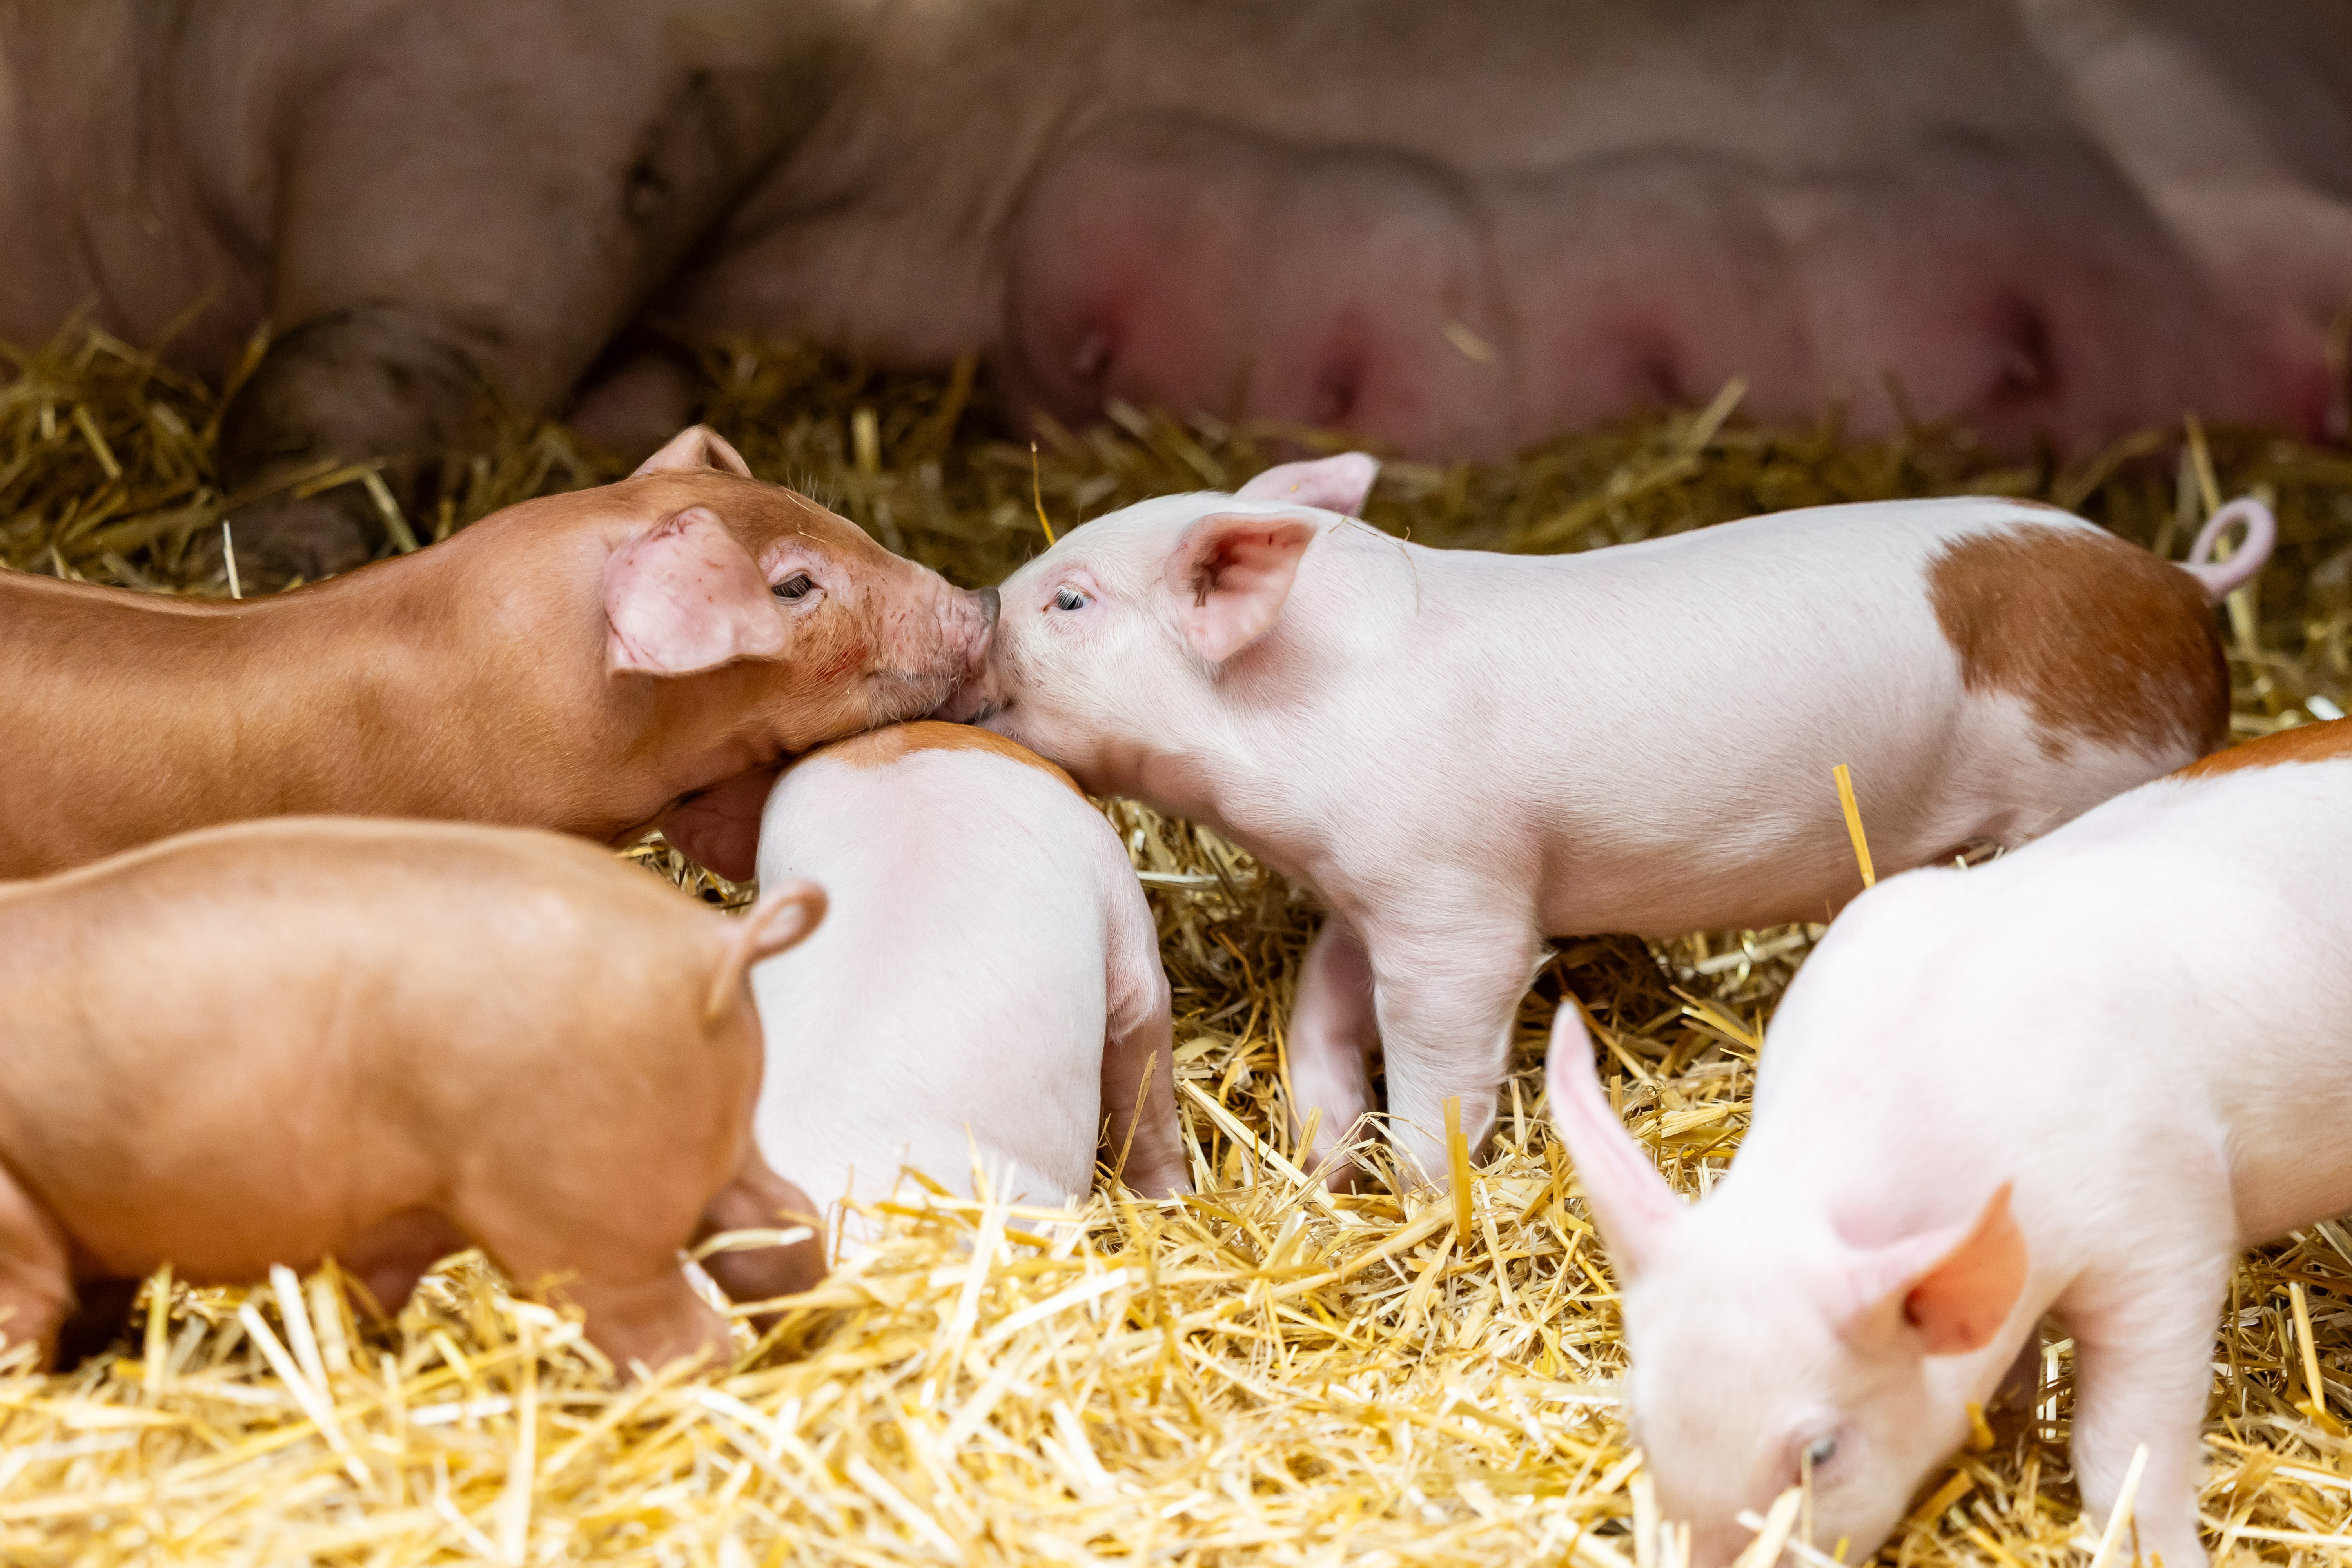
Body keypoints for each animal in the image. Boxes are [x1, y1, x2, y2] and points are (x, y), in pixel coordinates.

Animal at [0, 815, 832, 1374]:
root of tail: (712, 947)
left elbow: (27, 1305)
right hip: (716, 1156)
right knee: (785, 1230)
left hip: (582, 1214)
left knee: (684, 1341)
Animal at [943, 452, 2274, 1188]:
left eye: (1070, 601)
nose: (974, 606)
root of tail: (2180, 584)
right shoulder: (1378, 889)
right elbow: (1323, 1000)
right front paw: (1324, 1152)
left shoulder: (1457, 898)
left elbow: (1446, 1040)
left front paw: (1421, 1191)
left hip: (2092, 785)